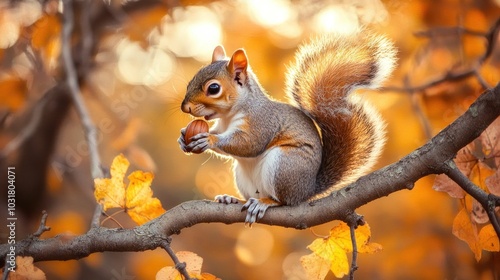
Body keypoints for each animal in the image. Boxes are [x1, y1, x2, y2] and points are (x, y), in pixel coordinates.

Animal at [178, 29, 396, 224]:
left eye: (214, 88)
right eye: (191, 81)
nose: (184, 107)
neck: (229, 116)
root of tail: (307, 190)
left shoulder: (262, 122)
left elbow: (249, 144)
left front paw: (209, 139)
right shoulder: (221, 125)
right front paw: (183, 138)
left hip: (285, 165)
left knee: (284, 201)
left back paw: (265, 202)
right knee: (251, 196)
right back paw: (233, 199)